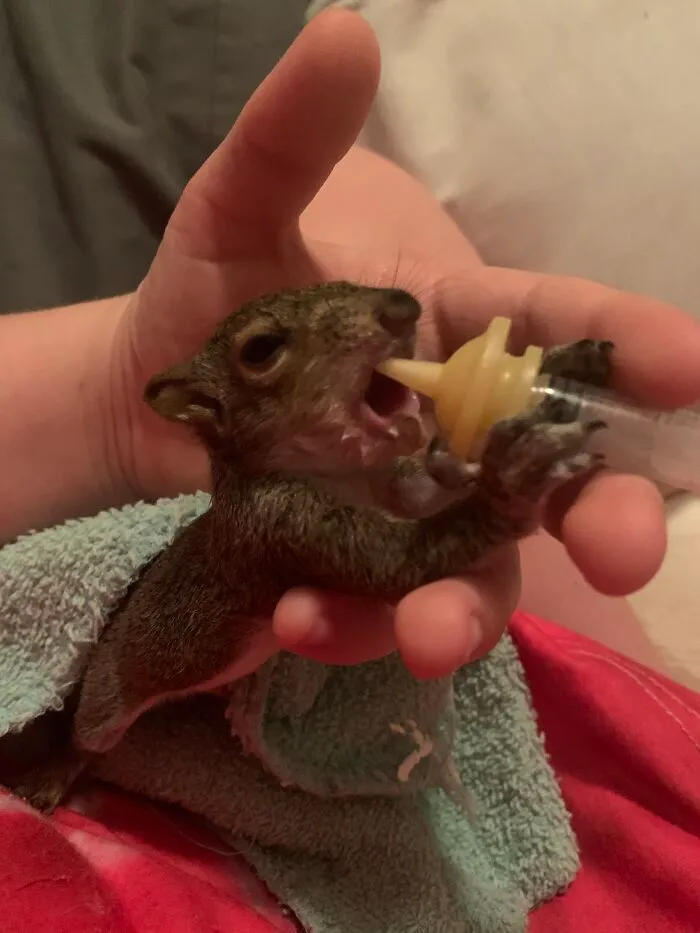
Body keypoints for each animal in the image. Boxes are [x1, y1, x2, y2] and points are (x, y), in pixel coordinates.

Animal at [0, 281, 613, 813]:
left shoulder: (391, 485)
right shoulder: (280, 525)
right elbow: (396, 564)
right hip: (109, 693)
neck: (344, 473)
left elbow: (422, 492)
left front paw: (560, 369)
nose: (402, 307)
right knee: (86, 737)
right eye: (261, 349)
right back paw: (52, 775)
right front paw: (515, 479)